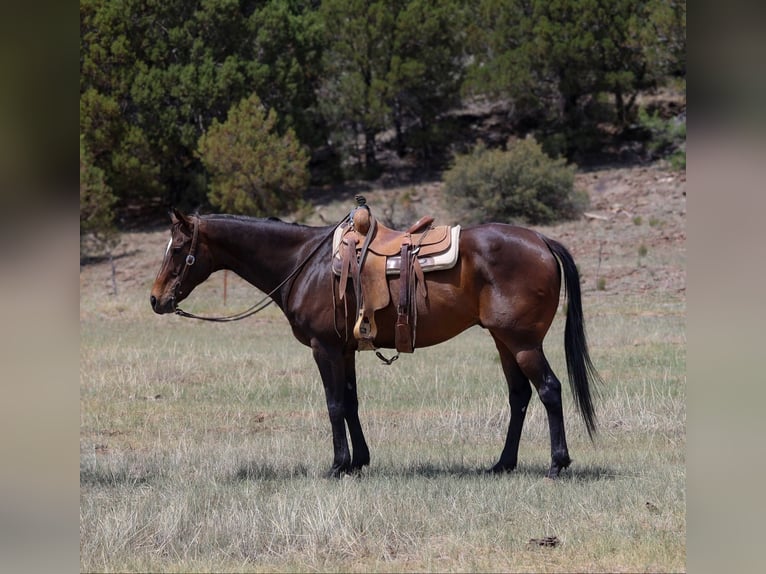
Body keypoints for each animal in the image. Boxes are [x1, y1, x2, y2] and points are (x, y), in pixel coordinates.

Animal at [150, 207, 600, 479]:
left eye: (178, 249)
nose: (156, 300)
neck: (304, 262)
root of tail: (542, 241)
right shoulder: (344, 349)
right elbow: (350, 402)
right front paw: (358, 462)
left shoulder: (324, 348)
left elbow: (334, 405)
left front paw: (337, 465)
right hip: (503, 341)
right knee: (519, 396)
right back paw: (503, 464)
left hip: (523, 342)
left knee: (549, 390)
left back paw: (557, 463)